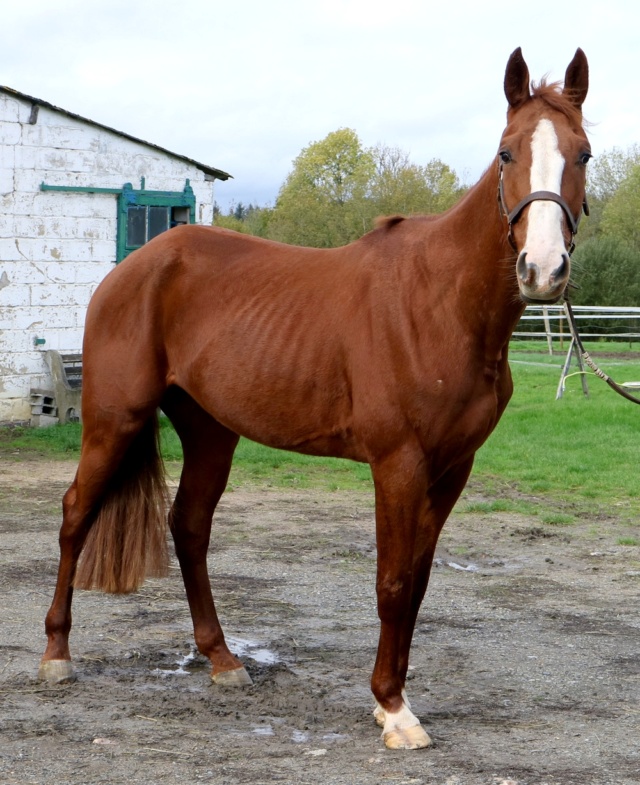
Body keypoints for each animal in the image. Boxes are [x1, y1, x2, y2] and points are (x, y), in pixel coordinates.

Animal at [40, 47, 592, 748]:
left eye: (583, 154)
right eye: (506, 152)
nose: (542, 269)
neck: (442, 304)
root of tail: (133, 269)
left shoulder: (453, 469)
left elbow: (419, 582)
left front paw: (391, 699)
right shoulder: (398, 464)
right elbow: (393, 581)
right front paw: (393, 708)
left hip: (211, 432)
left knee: (188, 527)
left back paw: (222, 660)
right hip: (115, 420)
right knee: (75, 516)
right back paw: (57, 655)